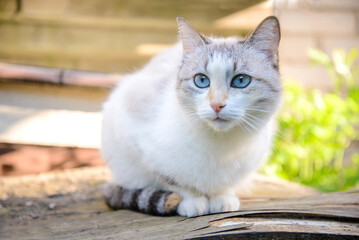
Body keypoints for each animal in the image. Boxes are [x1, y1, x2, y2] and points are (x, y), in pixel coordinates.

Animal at [100, 15, 282, 217]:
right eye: (201, 80)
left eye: (241, 81)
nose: (217, 105)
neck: (220, 146)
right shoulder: (139, 142)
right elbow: (177, 184)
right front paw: (193, 203)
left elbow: (225, 185)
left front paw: (222, 200)